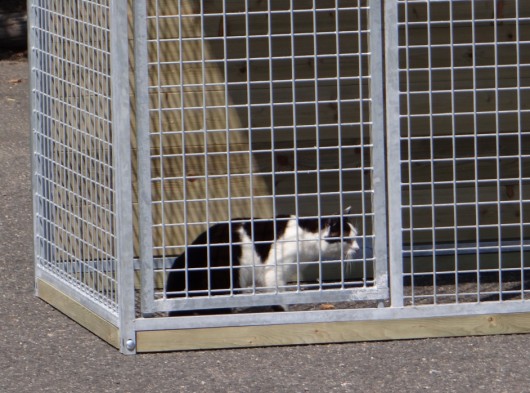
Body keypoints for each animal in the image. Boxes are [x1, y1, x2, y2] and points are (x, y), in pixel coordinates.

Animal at [165, 207, 354, 314]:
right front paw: (283, 311)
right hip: (224, 278)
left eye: (355, 237)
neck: (305, 234)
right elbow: (277, 294)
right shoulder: (273, 271)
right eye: (348, 239)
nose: (357, 248)